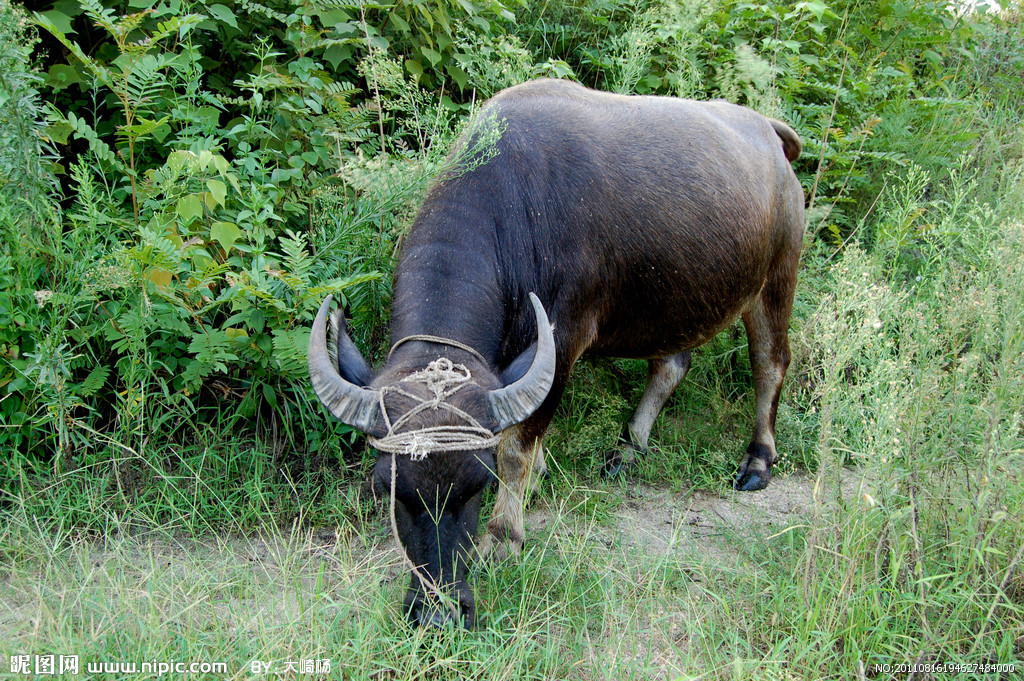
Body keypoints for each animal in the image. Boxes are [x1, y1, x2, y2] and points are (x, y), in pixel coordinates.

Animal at [307, 78, 802, 626]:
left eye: (479, 484)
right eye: (387, 487)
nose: (439, 614)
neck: (513, 211)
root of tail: (769, 132)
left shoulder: (562, 340)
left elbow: (517, 448)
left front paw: (504, 537)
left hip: (776, 278)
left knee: (770, 364)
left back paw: (757, 461)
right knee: (672, 362)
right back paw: (629, 448)